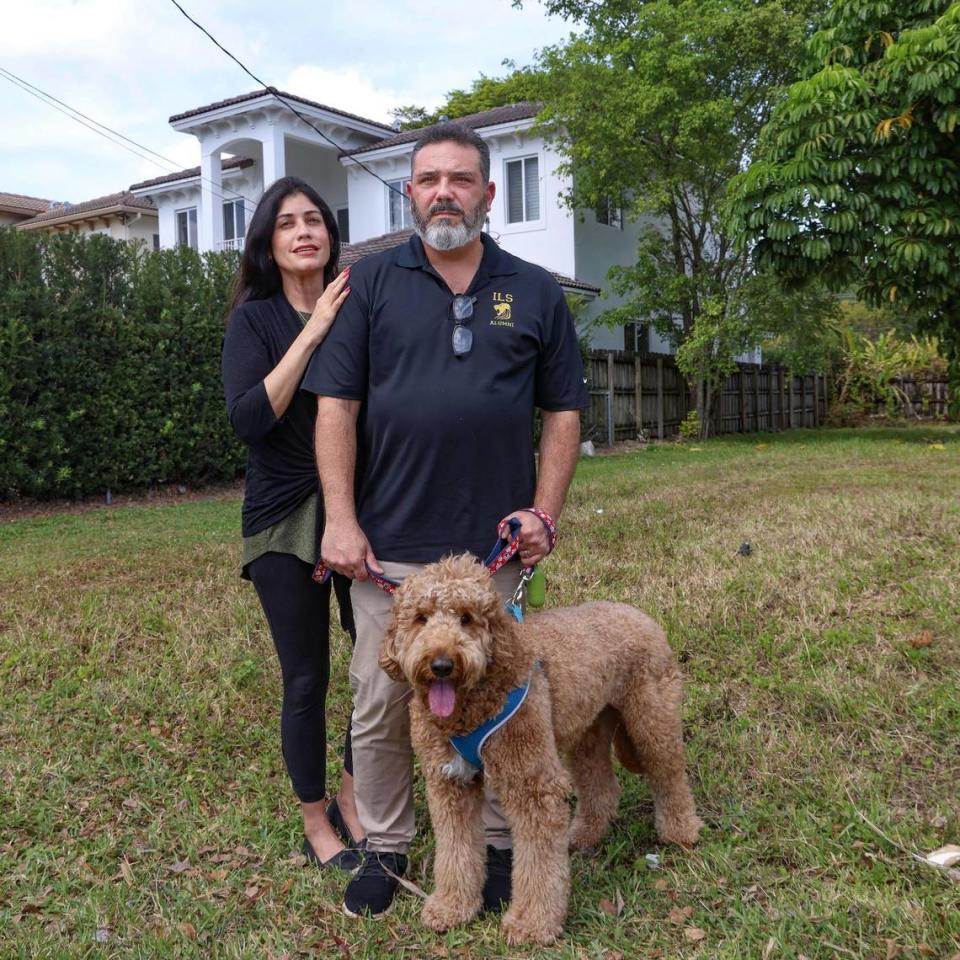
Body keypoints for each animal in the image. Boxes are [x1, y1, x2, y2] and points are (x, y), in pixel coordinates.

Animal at [378, 556, 700, 944]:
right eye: (421, 618)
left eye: (467, 618)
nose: (442, 664)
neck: (471, 706)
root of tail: (637, 613)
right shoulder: (450, 784)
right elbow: (456, 850)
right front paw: (452, 906)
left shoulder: (533, 785)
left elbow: (538, 862)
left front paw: (532, 923)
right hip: (588, 730)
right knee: (602, 787)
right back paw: (583, 835)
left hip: (651, 721)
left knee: (669, 774)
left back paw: (681, 832)